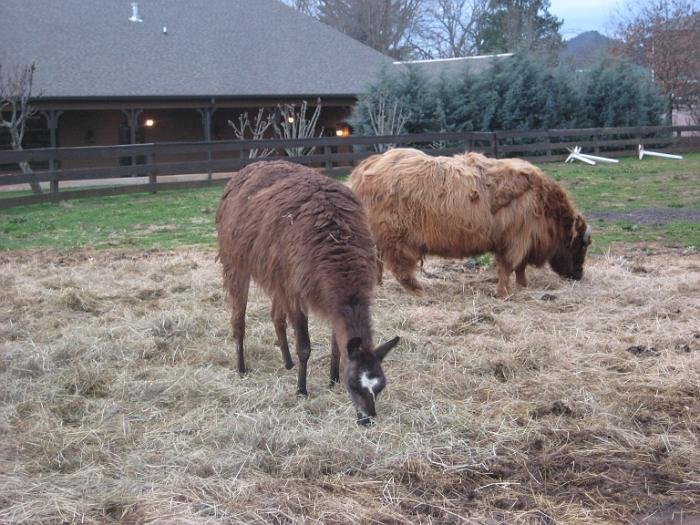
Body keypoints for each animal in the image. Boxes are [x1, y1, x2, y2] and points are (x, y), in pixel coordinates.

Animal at [216, 162, 400, 424]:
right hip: (236, 261)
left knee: (276, 316)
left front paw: (332, 379)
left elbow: (336, 343)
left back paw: (287, 362)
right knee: (238, 318)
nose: (367, 420)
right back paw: (241, 367)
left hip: (278, 274)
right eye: (355, 385)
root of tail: (247, 169)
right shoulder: (297, 290)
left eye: (380, 386)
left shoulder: (319, 294)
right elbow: (304, 346)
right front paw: (301, 389)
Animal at [350, 149, 592, 296]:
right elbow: (508, 267)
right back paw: (419, 292)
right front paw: (503, 293)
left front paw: (522, 286)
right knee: (400, 269)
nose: (579, 274)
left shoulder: (521, 241)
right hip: (396, 238)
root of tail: (369, 165)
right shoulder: (516, 241)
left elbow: (519, 268)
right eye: (582, 244)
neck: (544, 204)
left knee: (378, 263)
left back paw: (379, 286)